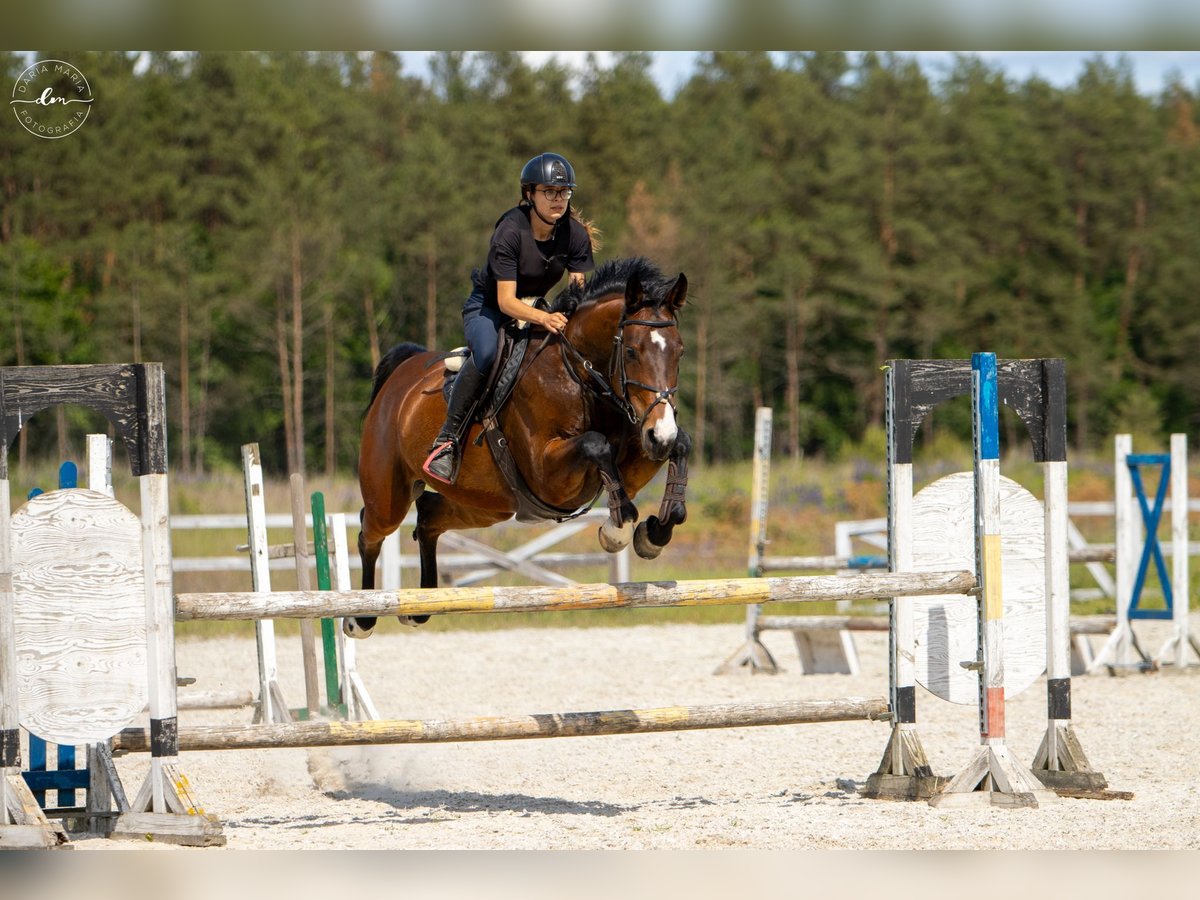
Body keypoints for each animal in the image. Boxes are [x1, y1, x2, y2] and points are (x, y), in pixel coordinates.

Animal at [351, 256, 692, 637]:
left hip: (486, 505)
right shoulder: (548, 476)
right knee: (370, 532)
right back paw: (360, 617)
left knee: (427, 517)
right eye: (632, 352)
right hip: (389, 495)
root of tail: (402, 372)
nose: (659, 435)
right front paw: (616, 531)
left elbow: (680, 445)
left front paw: (654, 533)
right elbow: (597, 444)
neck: (579, 375)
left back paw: (420, 606)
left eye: (679, 352)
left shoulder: (637, 444)